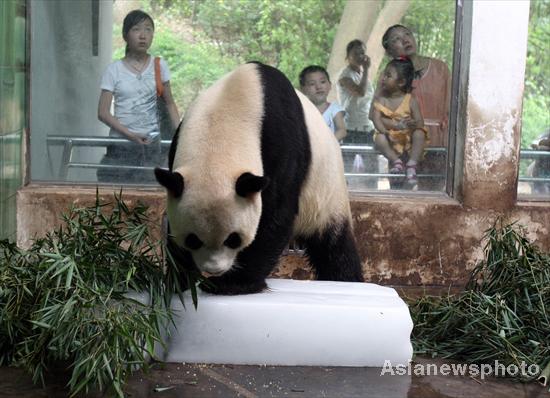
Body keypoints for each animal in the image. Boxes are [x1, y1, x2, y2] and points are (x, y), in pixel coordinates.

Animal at [155, 60, 364, 294]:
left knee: (334, 246)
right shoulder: (179, 143)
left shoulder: (282, 138)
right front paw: (178, 280)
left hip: (327, 195)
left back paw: (346, 280)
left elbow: (276, 211)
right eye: (193, 240)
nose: (214, 269)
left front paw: (232, 283)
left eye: (233, 239)